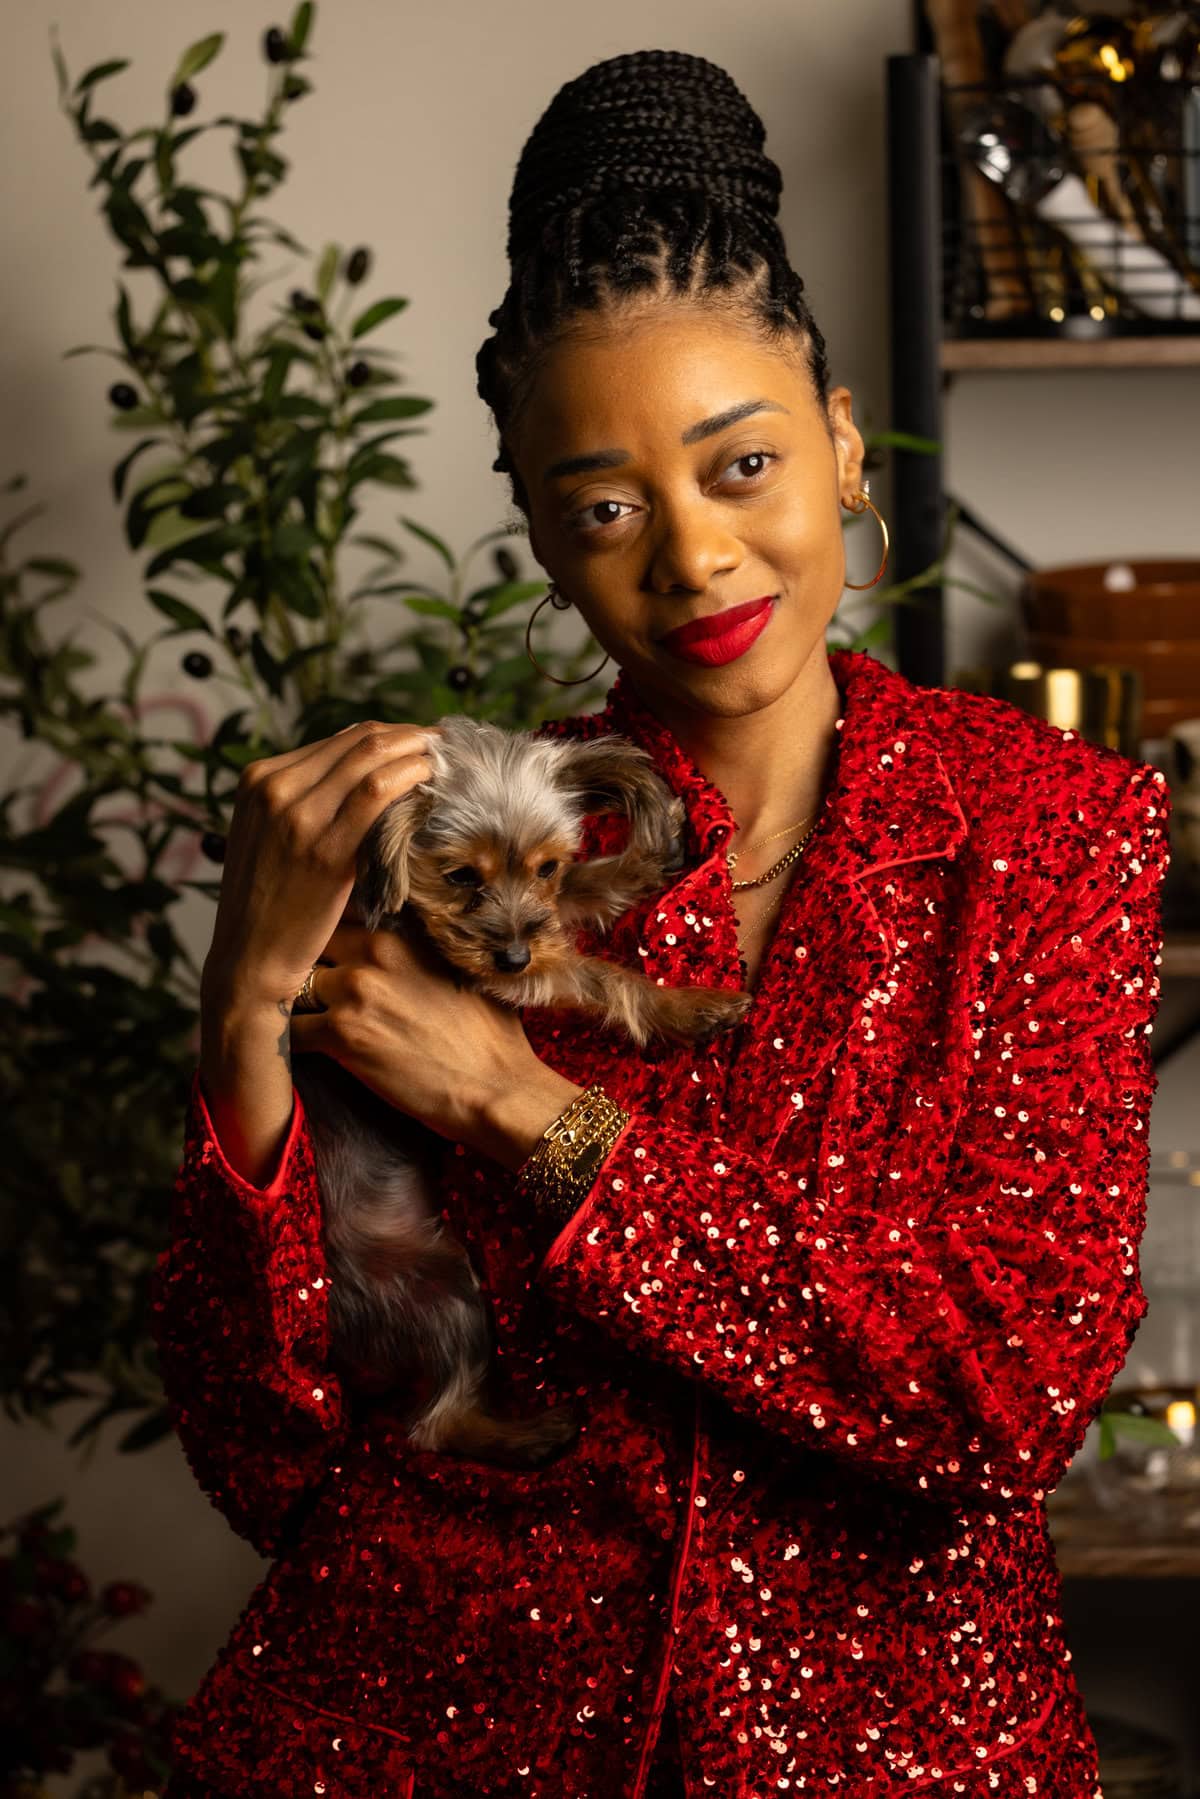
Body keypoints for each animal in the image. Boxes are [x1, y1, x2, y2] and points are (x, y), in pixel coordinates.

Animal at [293, 708, 752, 1467]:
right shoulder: (476, 966)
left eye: (546, 865)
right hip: (438, 1291)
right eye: (458, 876)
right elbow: (601, 977)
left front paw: (640, 862)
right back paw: (537, 1432)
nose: (512, 953)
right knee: (435, 1423)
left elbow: (574, 902)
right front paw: (688, 1006)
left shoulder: (535, 932)